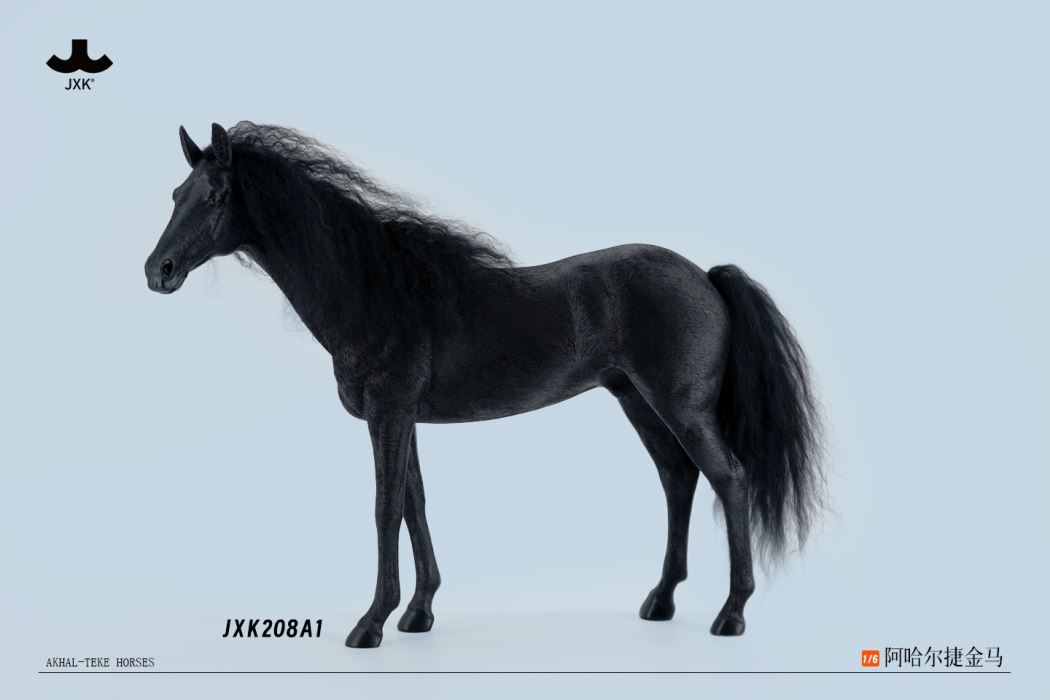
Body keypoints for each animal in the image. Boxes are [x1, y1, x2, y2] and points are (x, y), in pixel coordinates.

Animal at [145, 122, 824, 648]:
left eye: (214, 197)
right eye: (177, 192)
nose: (159, 271)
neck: (378, 290)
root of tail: (706, 277)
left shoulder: (388, 416)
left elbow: (384, 507)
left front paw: (371, 624)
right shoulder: (403, 419)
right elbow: (414, 505)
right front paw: (418, 613)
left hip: (682, 408)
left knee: (729, 479)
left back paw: (730, 614)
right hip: (638, 401)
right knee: (678, 479)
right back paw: (660, 601)